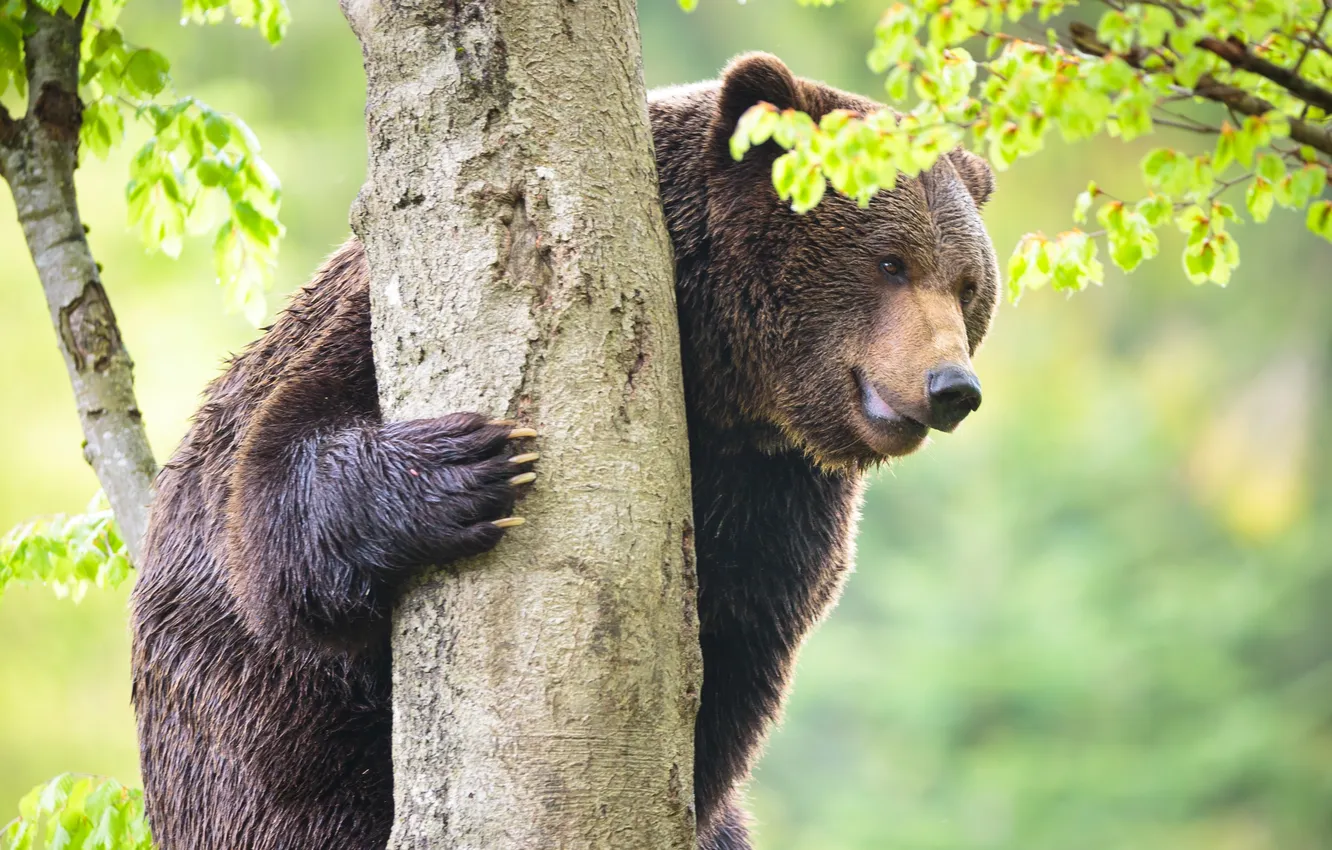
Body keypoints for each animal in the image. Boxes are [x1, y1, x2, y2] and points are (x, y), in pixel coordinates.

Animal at [130, 52, 998, 850]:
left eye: (966, 284)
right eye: (889, 261)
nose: (951, 385)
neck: (715, 371)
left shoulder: (774, 490)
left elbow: (734, 661)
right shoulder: (377, 320)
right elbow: (275, 495)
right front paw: (469, 465)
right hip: (254, 738)